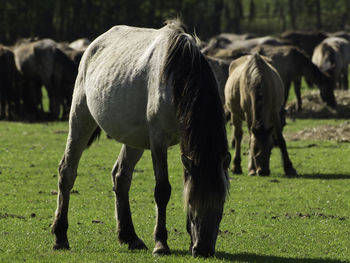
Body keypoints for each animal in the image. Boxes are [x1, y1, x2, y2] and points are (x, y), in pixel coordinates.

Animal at [50, 19, 231, 258]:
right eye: (192, 203)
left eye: (221, 202)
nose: (203, 250)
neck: (178, 76)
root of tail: (94, 45)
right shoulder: (158, 142)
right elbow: (162, 191)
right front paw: (161, 244)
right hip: (81, 118)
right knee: (67, 171)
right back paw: (60, 236)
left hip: (134, 139)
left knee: (121, 176)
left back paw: (130, 237)